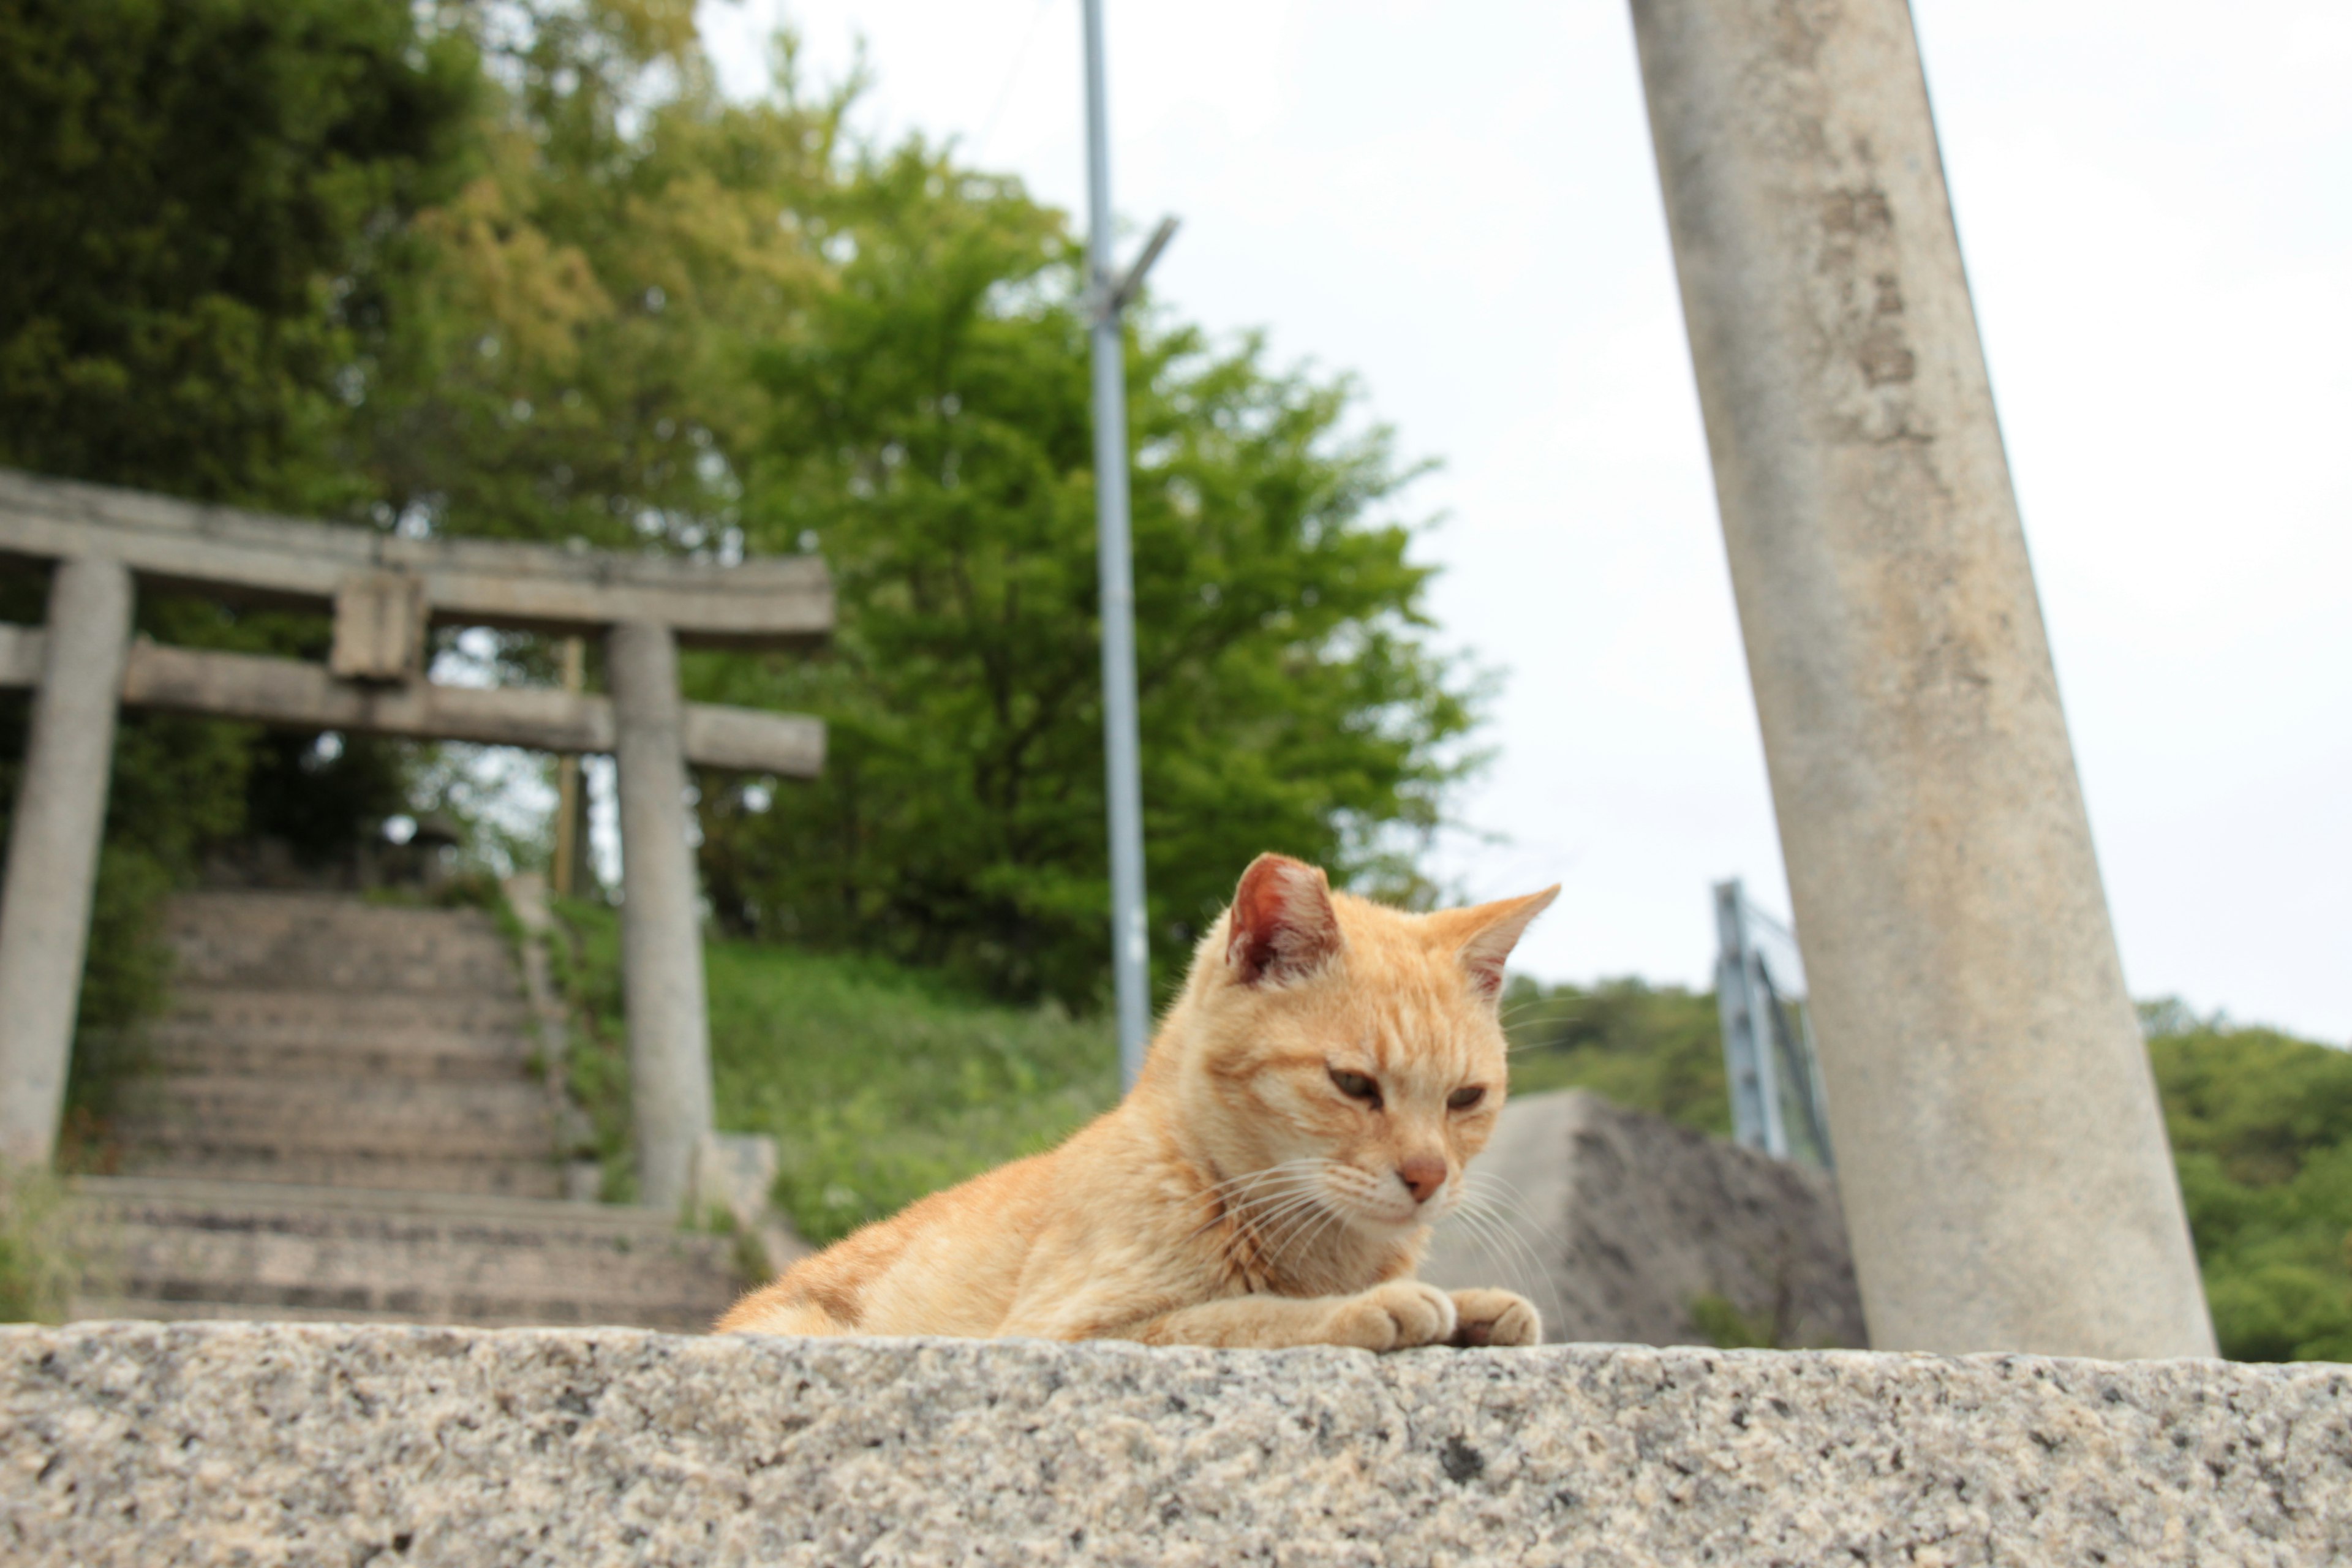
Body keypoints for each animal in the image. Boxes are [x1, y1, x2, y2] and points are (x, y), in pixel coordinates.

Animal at [715, 860, 1561, 1354]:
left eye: (1465, 1098)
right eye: (1353, 1085)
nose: (1428, 1176)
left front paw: (1476, 1306)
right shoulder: (1068, 1331)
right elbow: (1239, 1315)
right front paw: (1368, 1308)